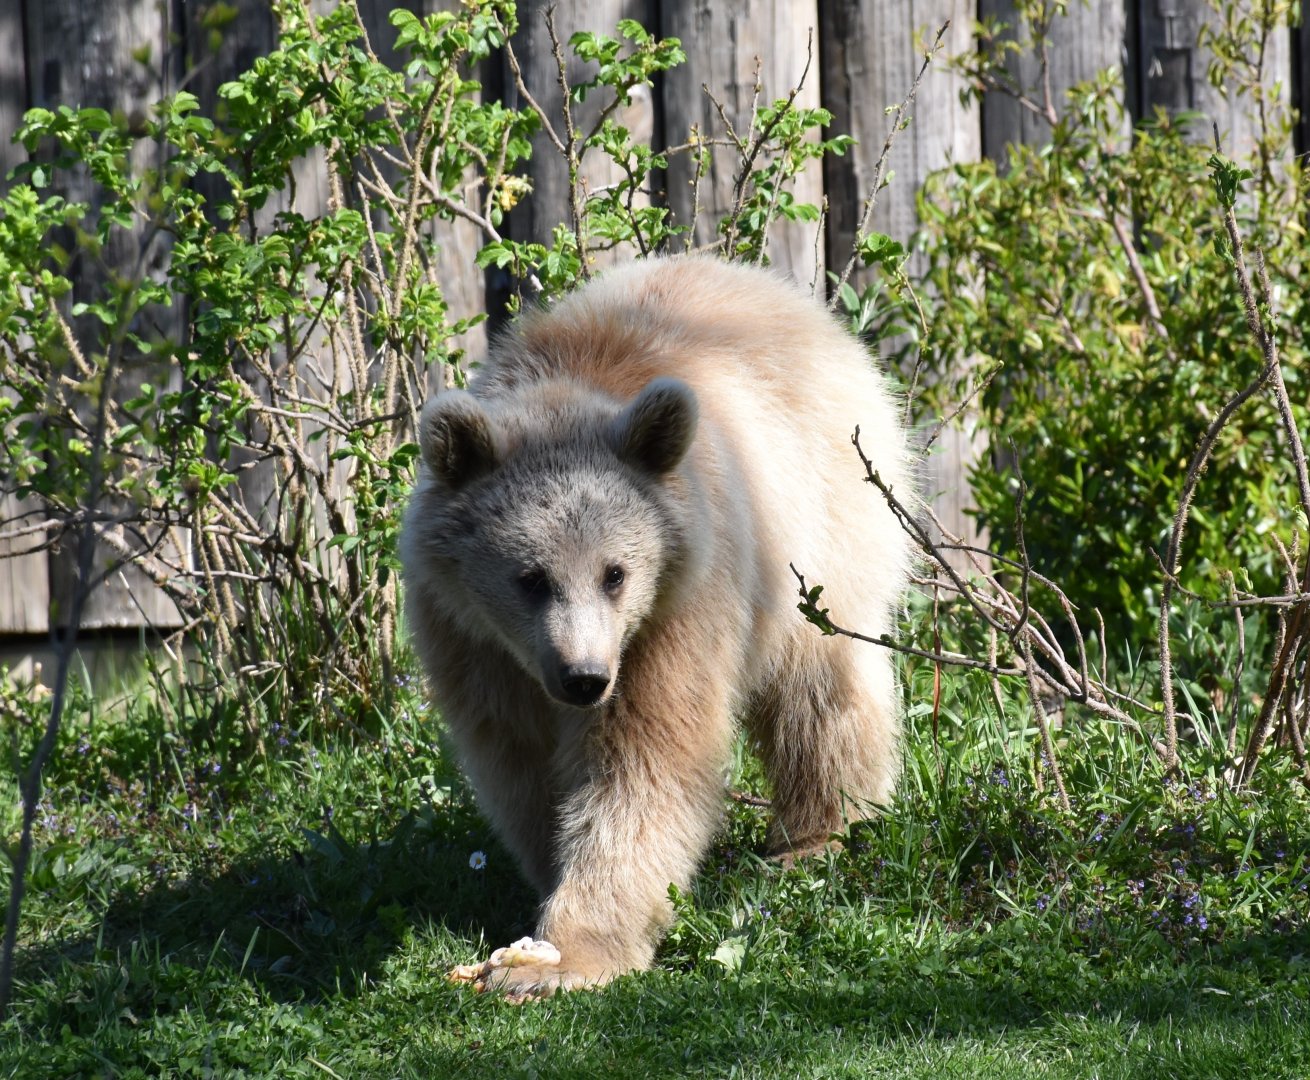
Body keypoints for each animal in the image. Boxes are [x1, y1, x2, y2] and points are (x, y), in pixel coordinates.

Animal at [400, 256, 911, 1000]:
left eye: (615, 572)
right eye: (531, 577)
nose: (584, 679)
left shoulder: (672, 615)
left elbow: (645, 763)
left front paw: (565, 959)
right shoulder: (474, 642)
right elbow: (520, 764)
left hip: (821, 529)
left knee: (822, 694)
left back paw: (821, 834)